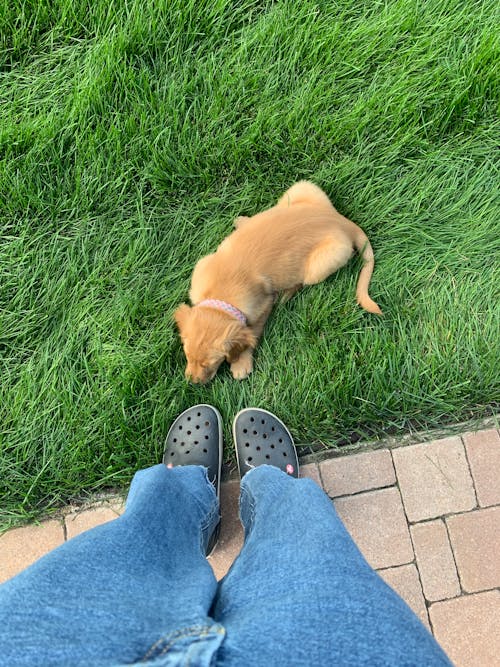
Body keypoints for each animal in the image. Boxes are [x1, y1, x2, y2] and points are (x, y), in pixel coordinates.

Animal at [174, 180, 380, 384]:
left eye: (210, 363)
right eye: (187, 355)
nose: (192, 382)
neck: (220, 293)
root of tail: (340, 221)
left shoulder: (262, 306)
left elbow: (253, 333)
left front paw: (241, 364)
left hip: (323, 263)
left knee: (302, 281)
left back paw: (285, 294)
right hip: (302, 188)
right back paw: (245, 221)